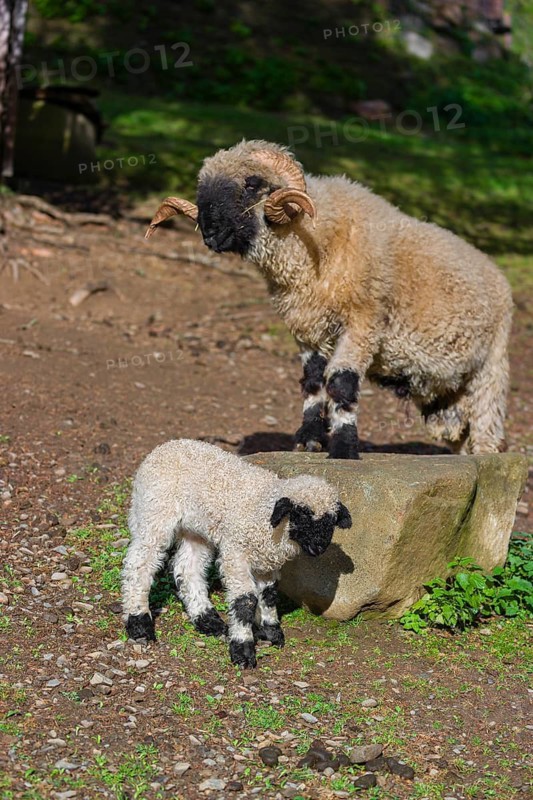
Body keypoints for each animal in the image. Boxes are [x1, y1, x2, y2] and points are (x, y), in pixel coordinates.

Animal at [121, 439, 352, 668]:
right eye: (301, 515)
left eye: (331, 521)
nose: (318, 547)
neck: (264, 514)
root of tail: (165, 446)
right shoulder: (236, 554)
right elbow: (245, 601)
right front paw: (243, 649)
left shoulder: (265, 563)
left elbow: (269, 595)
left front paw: (271, 632)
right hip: (155, 513)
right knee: (139, 566)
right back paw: (139, 624)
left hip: (196, 530)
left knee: (187, 569)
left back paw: (208, 621)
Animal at [145, 140, 513, 459]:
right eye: (202, 188)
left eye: (251, 183)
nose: (209, 234)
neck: (315, 242)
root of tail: (496, 272)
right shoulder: (309, 327)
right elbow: (312, 383)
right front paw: (309, 441)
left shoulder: (363, 323)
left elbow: (341, 383)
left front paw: (344, 449)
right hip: (448, 391)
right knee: (459, 433)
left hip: (491, 365)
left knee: (486, 425)